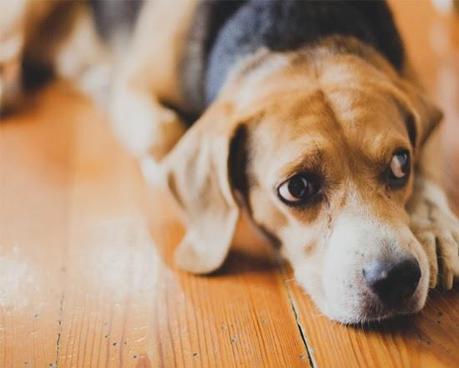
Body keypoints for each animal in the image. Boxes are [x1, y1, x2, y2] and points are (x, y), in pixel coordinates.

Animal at [1, 0, 458, 324]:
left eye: (401, 163)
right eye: (297, 188)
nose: (397, 276)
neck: (294, 33)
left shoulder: (414, 83)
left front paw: (432, 225)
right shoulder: (135, 85)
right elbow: (161, 131)